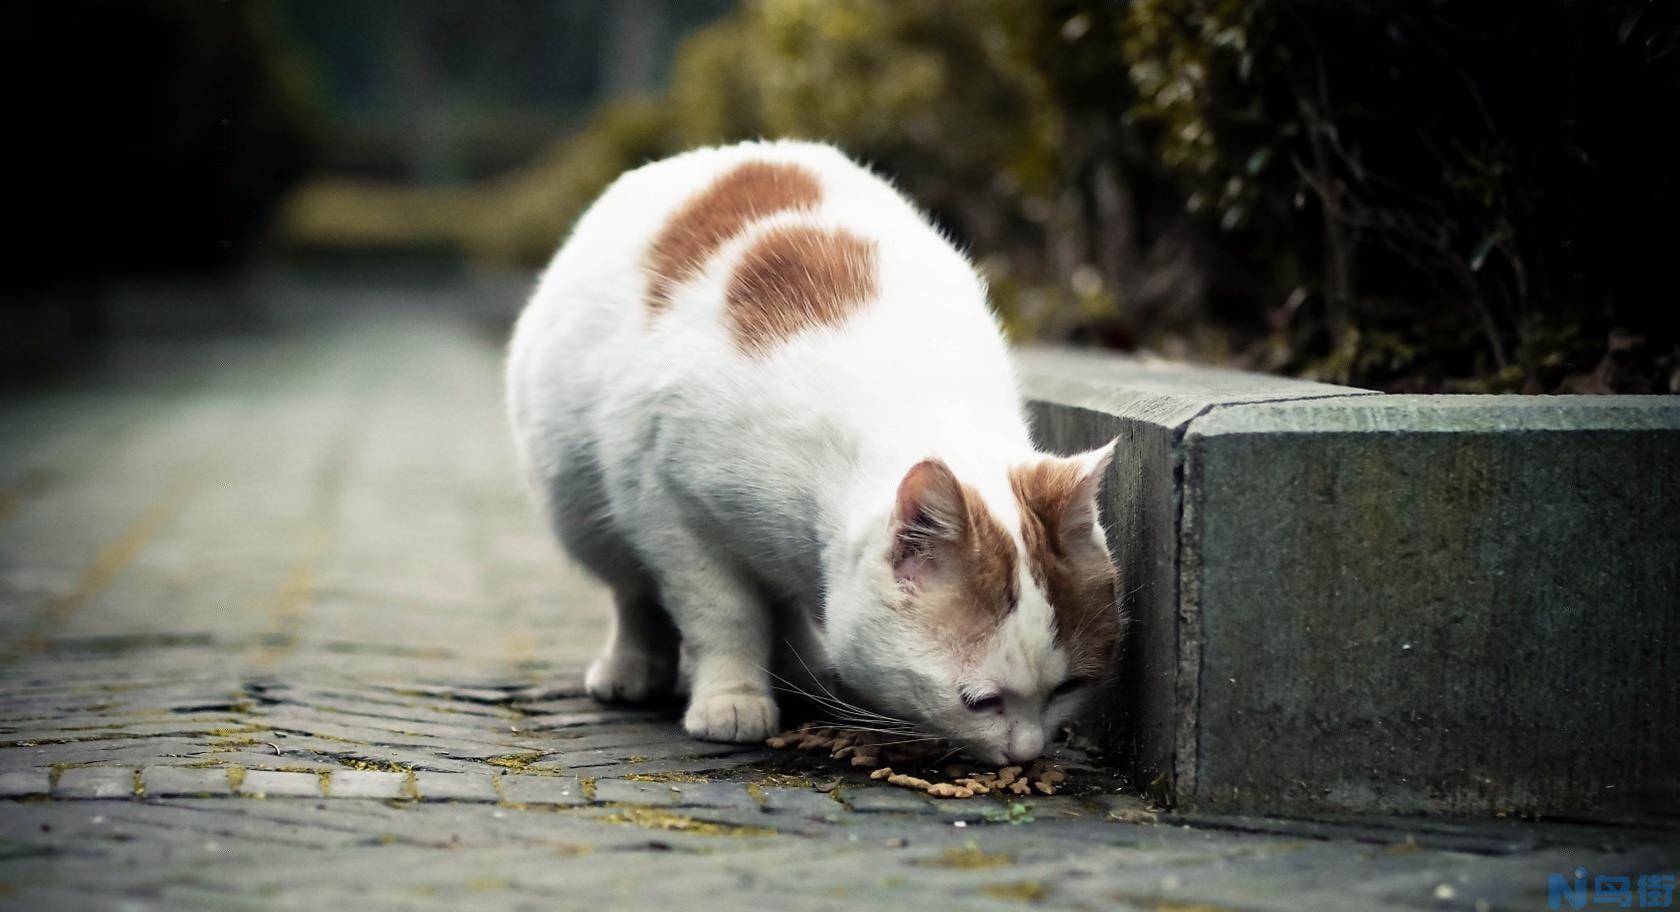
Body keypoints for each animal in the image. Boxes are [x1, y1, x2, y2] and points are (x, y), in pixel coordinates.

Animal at [503, 139, 1122, 762]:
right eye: (981, 701)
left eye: (1068, 688)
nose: (1029, 752)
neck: (915, 390)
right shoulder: (670, 510)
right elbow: (723, 615)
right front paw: (732, 697)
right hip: (583, 511)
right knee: (633, 592)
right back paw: (635, 665)